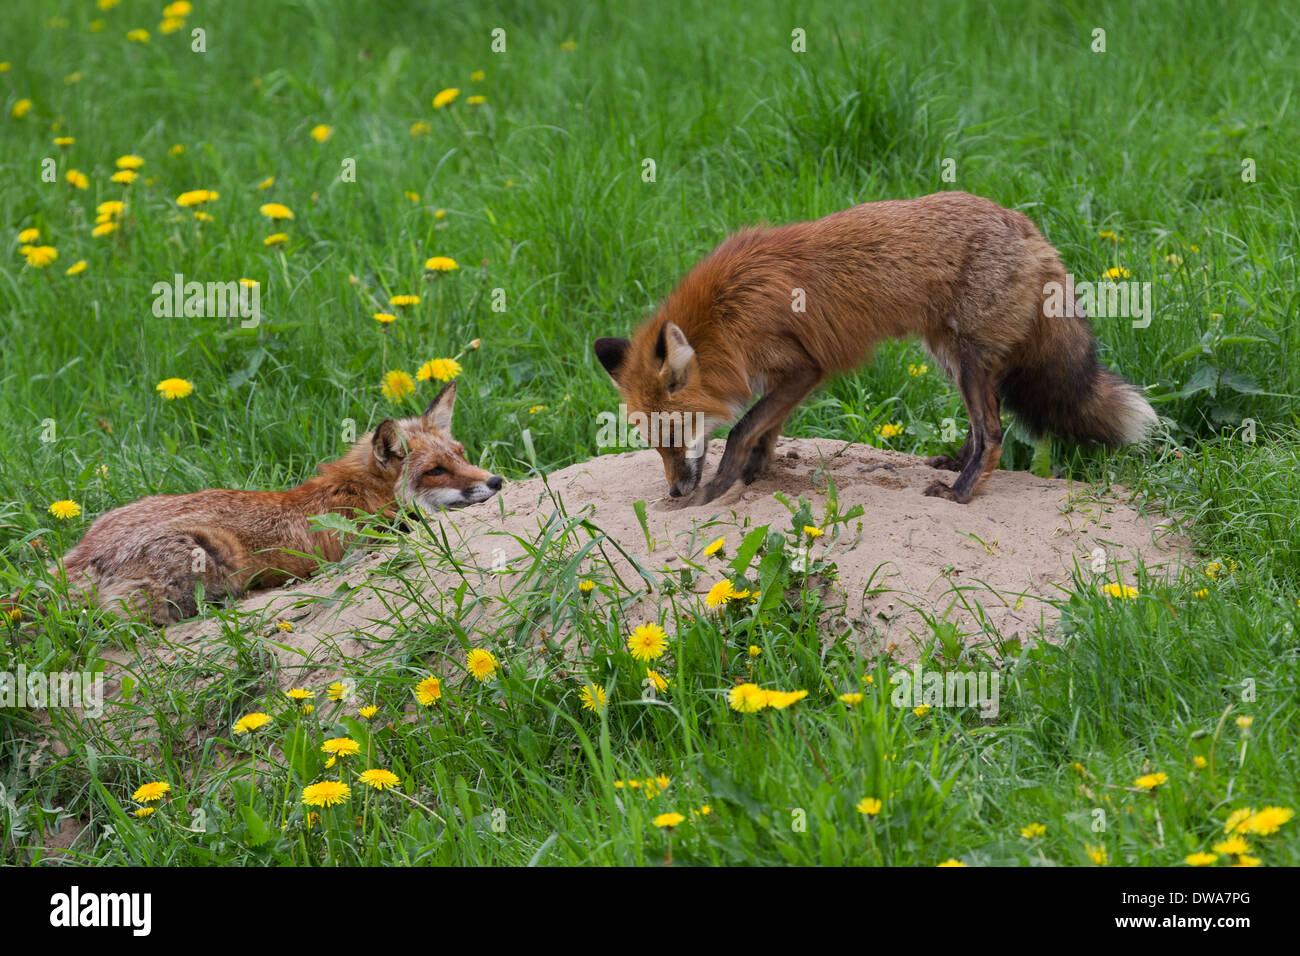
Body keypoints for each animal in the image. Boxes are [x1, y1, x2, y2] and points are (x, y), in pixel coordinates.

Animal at [35, 382, 501, 629]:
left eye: (461, 455)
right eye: (436, 471)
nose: (496, 481)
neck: (361, 491)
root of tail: (81, 556)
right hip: (212, 561)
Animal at [595, 189, 1154, 504]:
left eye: (673, 434)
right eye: (651, 442)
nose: (673, 491)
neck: (725, 310)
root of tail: (1030, 229)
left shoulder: (803, 369)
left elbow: (740, 430)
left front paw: (717, 487)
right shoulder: (785, 379)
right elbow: (765, 429)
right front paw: (755, 474)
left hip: (969, 361)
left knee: (994, 433)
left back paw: (960, 494)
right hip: (953, 359)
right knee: (979, 429)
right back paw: (955, 465)